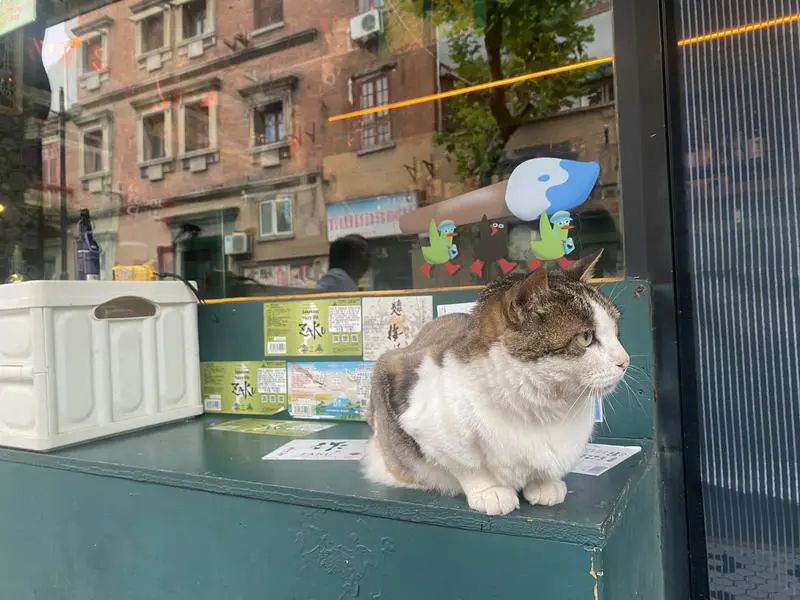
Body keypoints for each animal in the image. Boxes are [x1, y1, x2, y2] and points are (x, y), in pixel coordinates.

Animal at [363, 251, 629, 516]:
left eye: (616, 332)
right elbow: (466, 466)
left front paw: (544, 484)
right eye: (585, 338)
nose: (625, 361)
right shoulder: (422, 421)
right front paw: (490, 491)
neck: (545, 409)